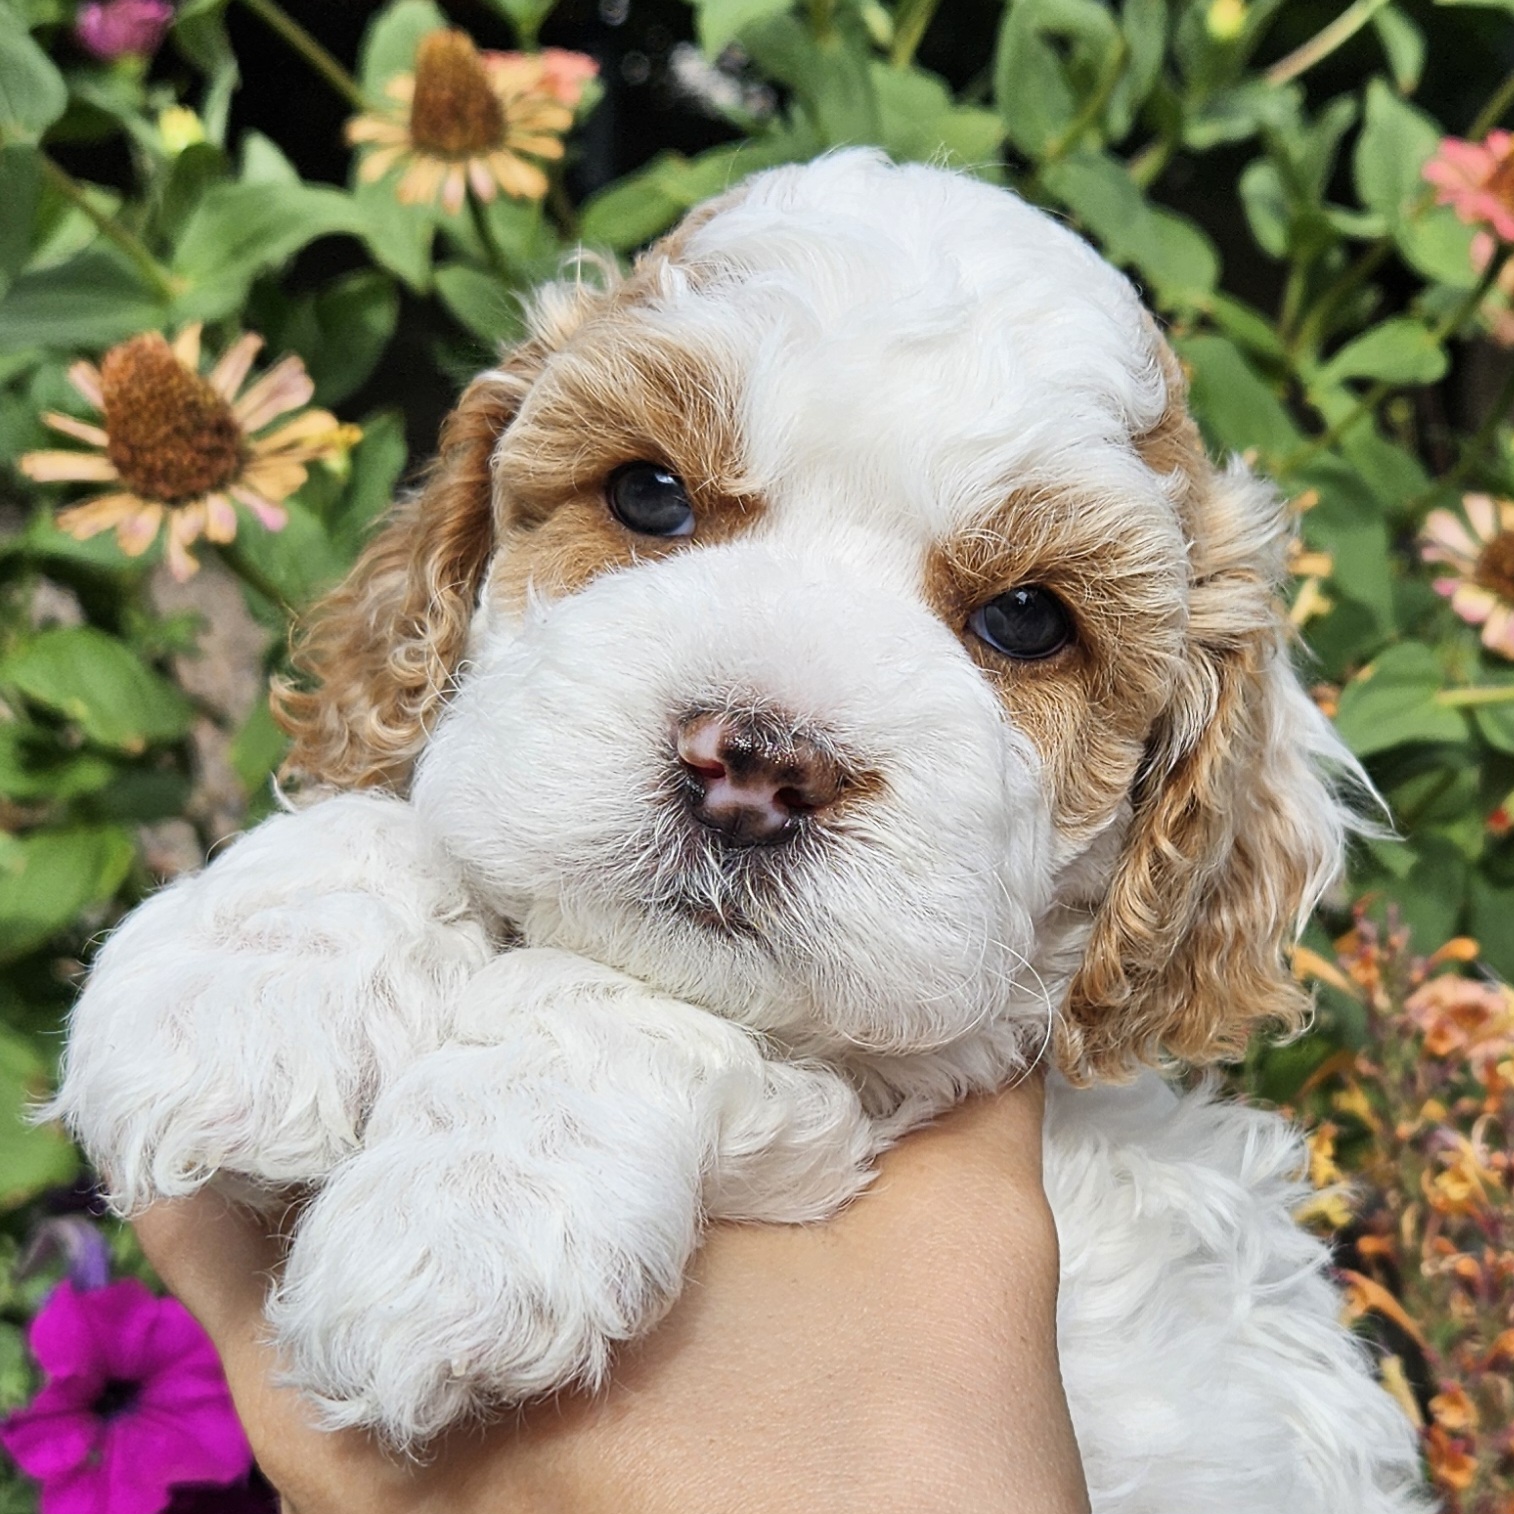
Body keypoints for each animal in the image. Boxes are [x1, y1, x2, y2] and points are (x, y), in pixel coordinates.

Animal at [50, 151, 1429, 1511]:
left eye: (1028, 619)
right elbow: (395, 819)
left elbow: (632, 1005)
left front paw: (468, 1212)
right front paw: (243, 986)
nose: (756, 764)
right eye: (649, 493)